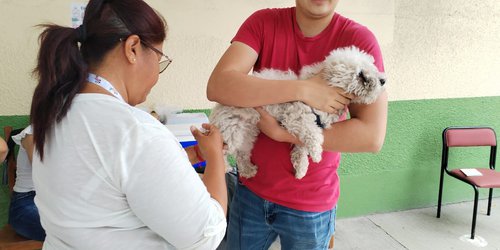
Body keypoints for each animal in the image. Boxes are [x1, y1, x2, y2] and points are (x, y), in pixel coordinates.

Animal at [209, 46, 384, 180]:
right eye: (361, 75)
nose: (383, 80)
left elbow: (301, 148)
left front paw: (301, 168)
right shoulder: (296, 117)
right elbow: (313, 134)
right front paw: (316, 153)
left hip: (247, 134)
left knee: (241, 154)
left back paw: (248, 170)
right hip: (232, 129)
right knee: (220, 149)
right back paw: (224, 167)